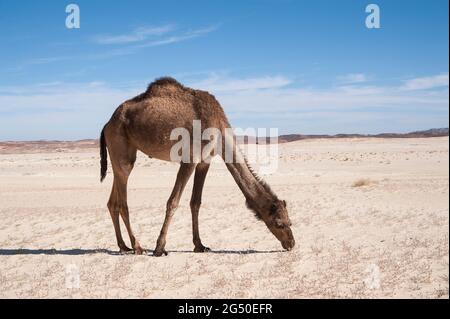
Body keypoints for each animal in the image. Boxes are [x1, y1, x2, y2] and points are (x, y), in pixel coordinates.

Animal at [99, 77, 296, 258]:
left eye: (290, 222)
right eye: (279, 223)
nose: (291, 243)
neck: (220, 132)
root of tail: (107, 124)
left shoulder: (204, 161)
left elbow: (196, 202)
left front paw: (200, 245)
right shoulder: (190, 158)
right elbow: (173, 202)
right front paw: (159, 248)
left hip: (121, 154)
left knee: (112, 201)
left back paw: (123, 246)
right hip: (120, 145)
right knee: (123, 202)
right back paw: (137, 247)